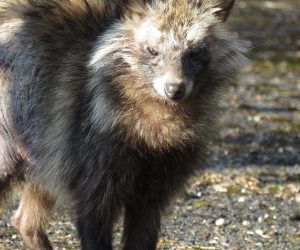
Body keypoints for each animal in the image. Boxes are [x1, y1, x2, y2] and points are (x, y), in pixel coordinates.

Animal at [0, 0, 245, 249]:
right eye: (152, 50)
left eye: (193, 52)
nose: (174, 89)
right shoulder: (94, 160)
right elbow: (93, 221)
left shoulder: (159, 179)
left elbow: (144, 230)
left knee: (26, 217)